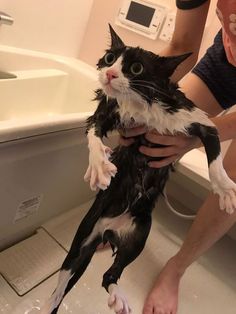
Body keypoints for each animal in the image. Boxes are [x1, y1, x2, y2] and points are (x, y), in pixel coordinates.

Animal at [41, 24, 236, 314]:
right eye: (110, 58)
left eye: (136, 68)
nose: (110, 74)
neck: (139, 102)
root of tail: (109, 232)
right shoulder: (105, 113)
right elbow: (93, 135)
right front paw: (99, 166)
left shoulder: (200, 123)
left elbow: (215, 161)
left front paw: (224, 190)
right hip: (85, 233)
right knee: (64, 279)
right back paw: (51, 301)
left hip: (139, 235)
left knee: (109, 275)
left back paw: (118, 296)